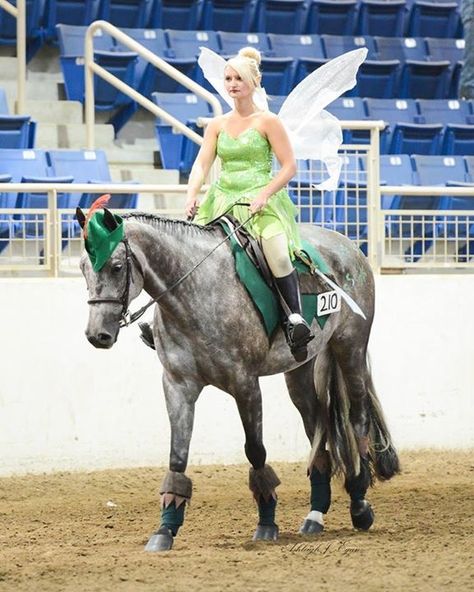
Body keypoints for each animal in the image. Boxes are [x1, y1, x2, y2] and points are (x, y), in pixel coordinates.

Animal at [78, 208, 400, 552]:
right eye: (84, 267)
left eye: (116, 266)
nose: (98, 335)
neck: (195, 292)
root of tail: (348, 244)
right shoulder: (178, 385)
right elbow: (177, 455)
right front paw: (165, 529)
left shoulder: (245, 384)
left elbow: (255, 450)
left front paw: (267, 522)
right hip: (299, 370)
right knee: (318, 429)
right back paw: (315, 515)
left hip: (350, 348)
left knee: (358, 419)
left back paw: (360, 504)